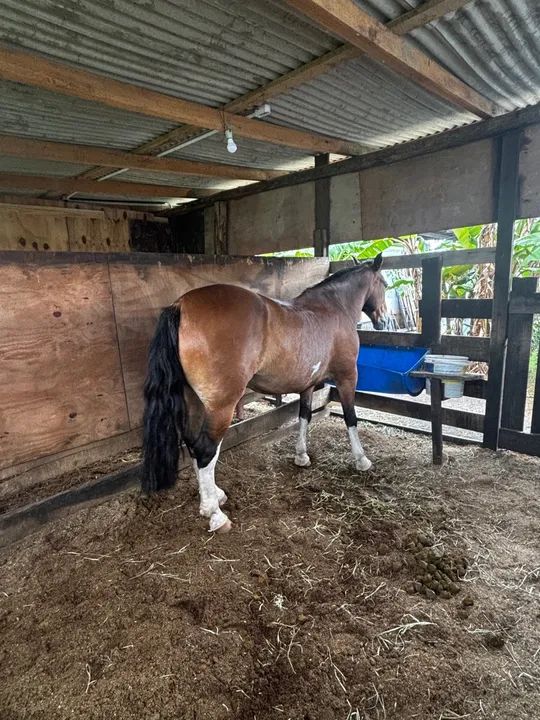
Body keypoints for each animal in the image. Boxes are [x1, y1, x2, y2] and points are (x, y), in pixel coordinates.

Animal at [142, 253, 388, 533]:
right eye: (384, 284)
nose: (384, 320)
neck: (333, 308)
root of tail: (181, 305)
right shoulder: (347, 378)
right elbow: (351, 419)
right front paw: (362, 460)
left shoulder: (307, 384)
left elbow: (304, 416)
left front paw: (301, 455)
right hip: (221, 406)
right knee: (206, 450)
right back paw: (215, 514)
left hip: (194, 401)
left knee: (195, 445)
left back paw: (215, 496)